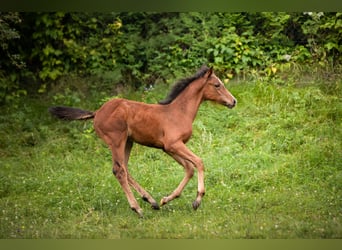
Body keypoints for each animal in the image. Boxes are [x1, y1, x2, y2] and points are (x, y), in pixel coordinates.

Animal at [49, 66, 236, 217]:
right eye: (217, 85)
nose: (233, 101)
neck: (179, 111)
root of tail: (97, 112)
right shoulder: (173, 144)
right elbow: (199, 162)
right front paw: (197, 200)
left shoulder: (168, 148)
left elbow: (189, 168)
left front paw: (166, 200)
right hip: (116, 141)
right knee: (119, 171)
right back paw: (137, 208)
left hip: (128, 142)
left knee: (124, 169)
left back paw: (151, 201)